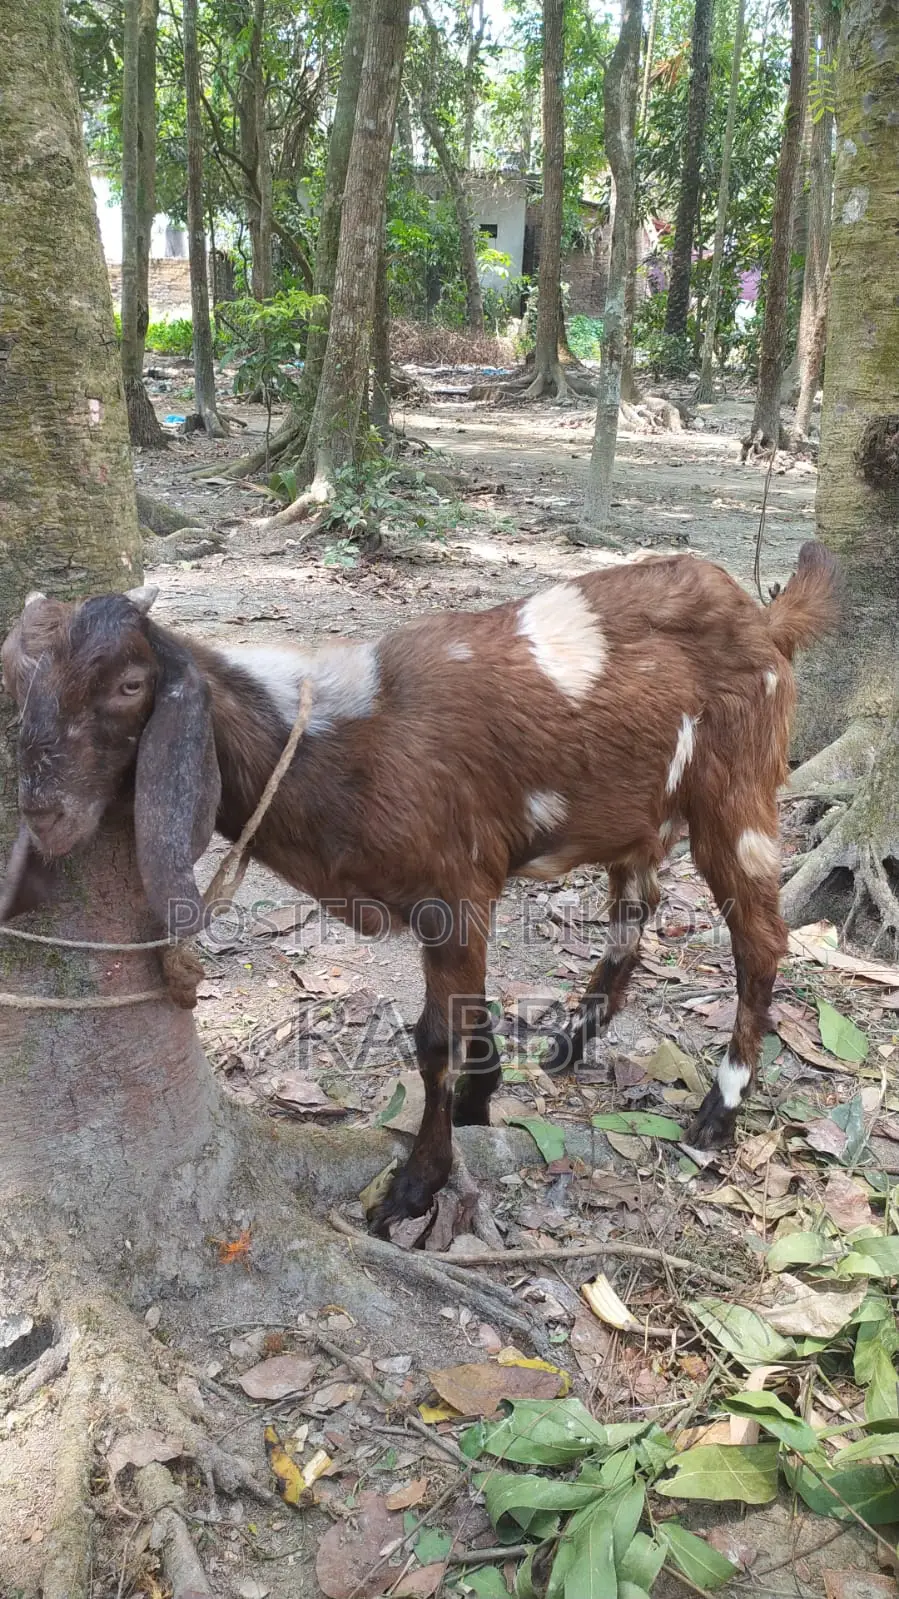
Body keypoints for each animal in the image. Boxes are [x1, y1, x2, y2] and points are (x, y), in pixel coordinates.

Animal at [0, 543, 837, 1233]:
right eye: (14, 680)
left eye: (129, 683)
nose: (43, 811)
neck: (342, 746)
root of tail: (764, 617)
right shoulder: (454, 902)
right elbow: (467, 1011)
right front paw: (480, 1094)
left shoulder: (454, 888)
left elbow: (436, 1037)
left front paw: (414, 1185)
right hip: (636, 812)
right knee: (636, 912)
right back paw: (572, 1039)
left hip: (736, 790)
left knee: (760, 940)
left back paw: (719, 1107)